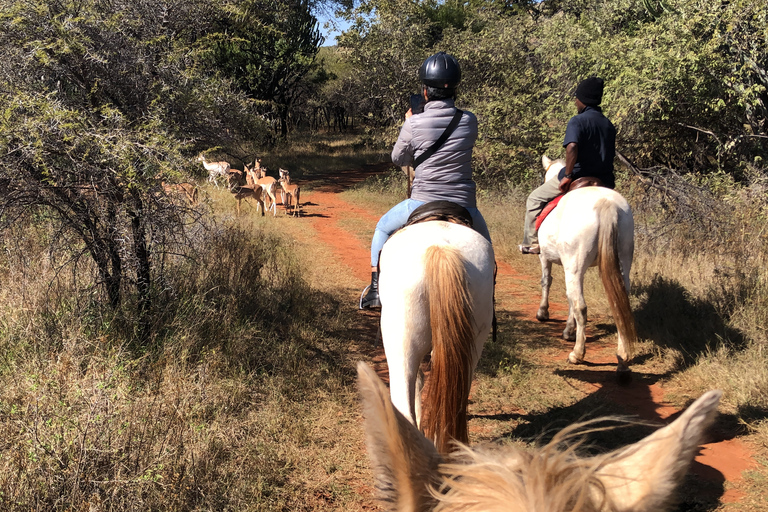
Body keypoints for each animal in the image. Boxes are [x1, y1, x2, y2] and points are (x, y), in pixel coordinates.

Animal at [536, 154, 636, 378]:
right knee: (620, 305)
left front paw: (544, 314)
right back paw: (623, 362)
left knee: (581, 306)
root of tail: (606, 204)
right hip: (623, 261)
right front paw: (568, 330)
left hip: (574, 266)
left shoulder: (547, 258)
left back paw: (577, 354)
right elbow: (568, 297)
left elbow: (548, 282)